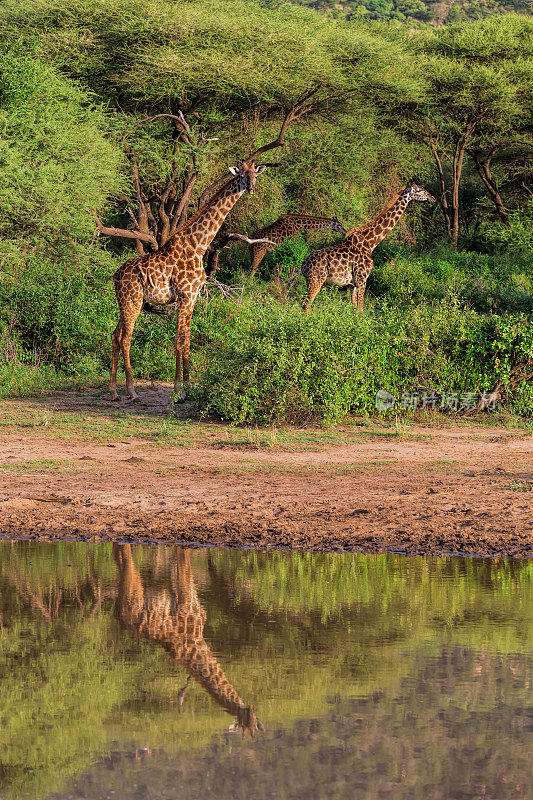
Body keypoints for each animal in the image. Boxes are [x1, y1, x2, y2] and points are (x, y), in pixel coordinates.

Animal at [109, 162, 266, 404]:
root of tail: (116, 276)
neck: (198, 245)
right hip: (132, 300)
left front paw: (188, 388)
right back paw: (132, 391)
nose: (250, 188)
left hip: (129, 302)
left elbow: (187, 341)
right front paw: (177, 391)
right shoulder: (184, 295)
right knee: (126, 338)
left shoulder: (193, 297)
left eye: (255, 175)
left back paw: (114, 391)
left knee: (115, 336)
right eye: (242, 175)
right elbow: (179, 341)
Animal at [113, 544, 262, 736]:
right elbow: (185, 560)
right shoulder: (186, 596)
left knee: (117, 556)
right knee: (126, 557)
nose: (250, 708)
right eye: (244, 721)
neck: (197, 641)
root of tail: (119, 613)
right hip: (135, 592)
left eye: (254, 721)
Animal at [302, 183, 434, 310]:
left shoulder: (352, 284)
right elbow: (361, 308)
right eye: (419, 190)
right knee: (306, 304)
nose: (432, 198)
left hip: (311, 281)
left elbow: (354, 308)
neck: (370, 243)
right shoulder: (362, 279)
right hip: (316, 280)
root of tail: (303, 265)